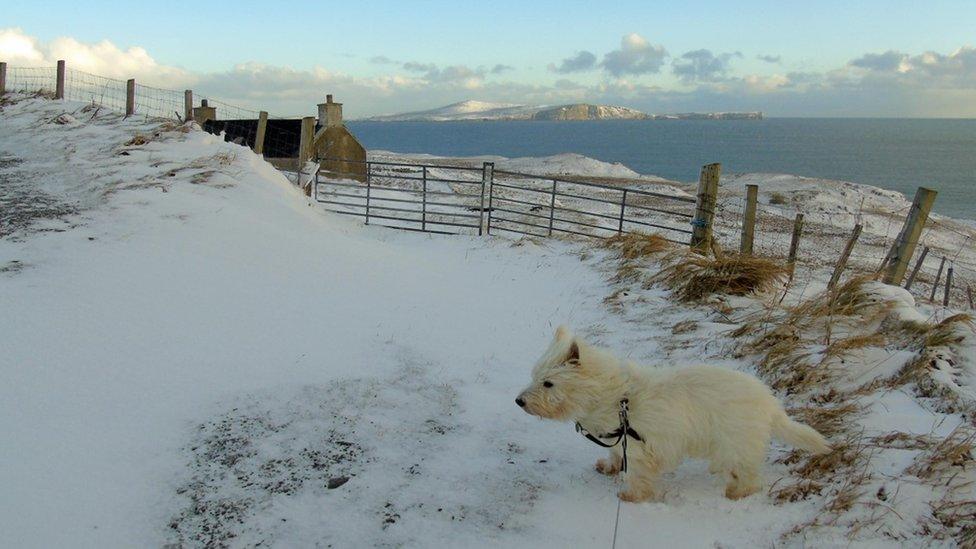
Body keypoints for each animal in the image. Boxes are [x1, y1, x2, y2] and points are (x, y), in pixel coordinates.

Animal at [516, 326, 828, 500]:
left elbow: (638, 473)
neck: (615, 397)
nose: (519, 401)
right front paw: (609, 466)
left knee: (750, 476)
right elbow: (615, 454)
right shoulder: (619, 437)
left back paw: (736, 492)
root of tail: (770, 403)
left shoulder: (643, 444)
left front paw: (631, 496)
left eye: (548, 383)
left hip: (736, 439)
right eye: (534, 376)